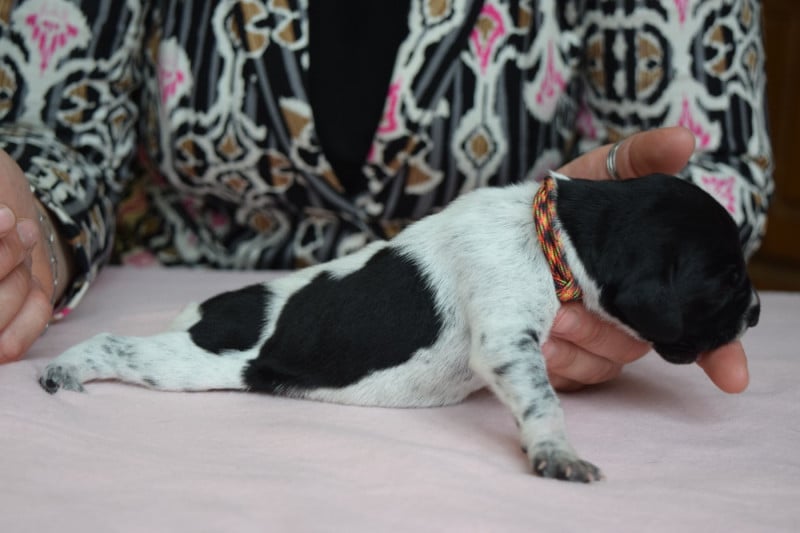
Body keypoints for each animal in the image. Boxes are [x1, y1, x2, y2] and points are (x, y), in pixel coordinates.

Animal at [39, 172, 760, 482]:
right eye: (726, 278)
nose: (755, 310)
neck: (552, 229)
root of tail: (209, 309)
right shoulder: (506, 341)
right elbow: (542, 401)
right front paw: (555, 450)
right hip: (191, 363)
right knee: (112, 343)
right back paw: (65, 367)